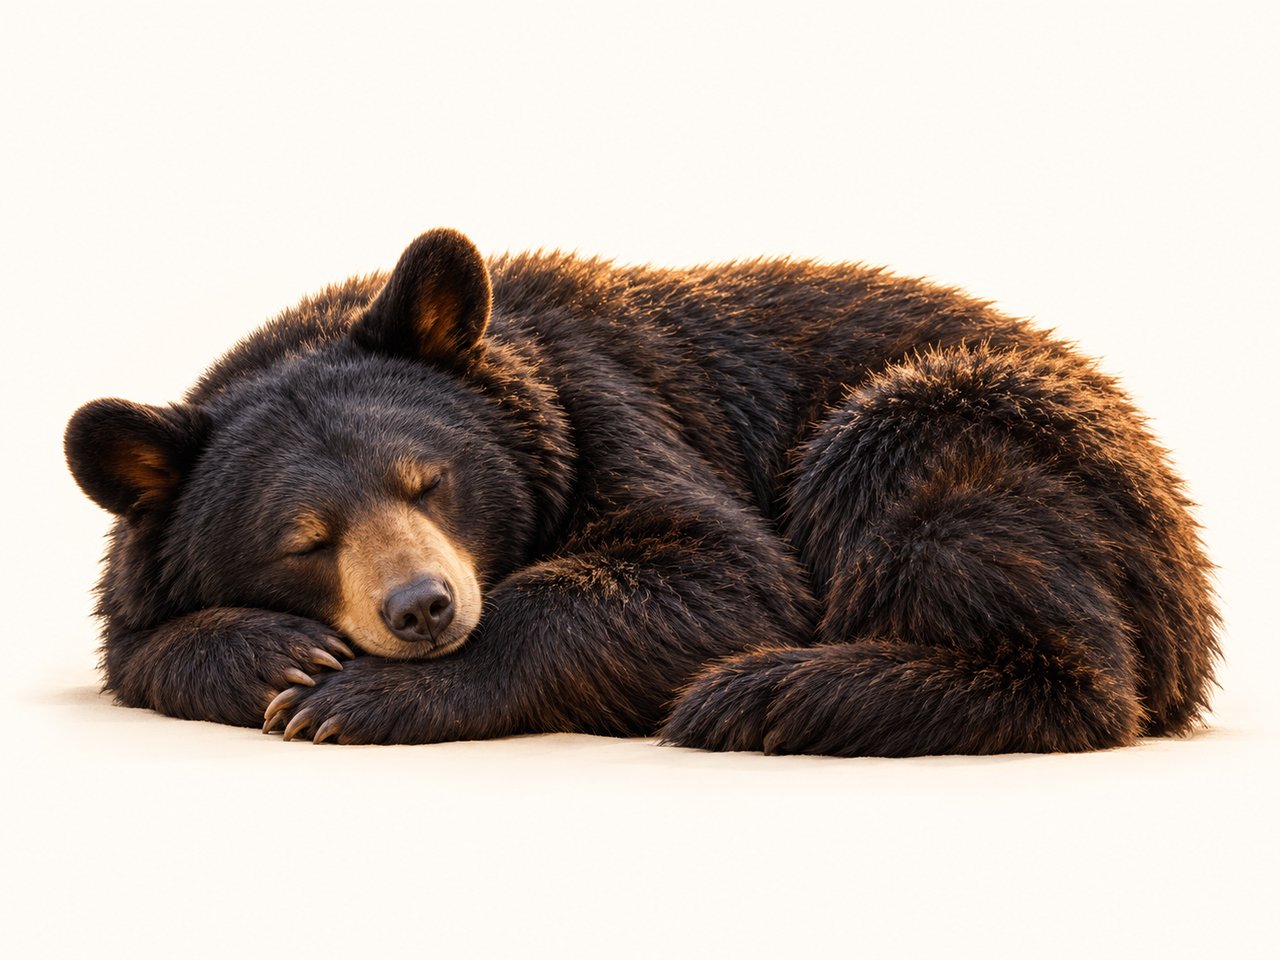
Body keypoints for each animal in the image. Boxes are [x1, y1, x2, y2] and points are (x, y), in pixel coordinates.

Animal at [63, 228, 1220, 755]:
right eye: (304, 538)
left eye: (429, 480)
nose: (422, 607)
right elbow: (138, 640)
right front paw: (276, 653)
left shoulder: (613, 412)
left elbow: (715, 572)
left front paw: (351, 699)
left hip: (979, 424)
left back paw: (760, 695)